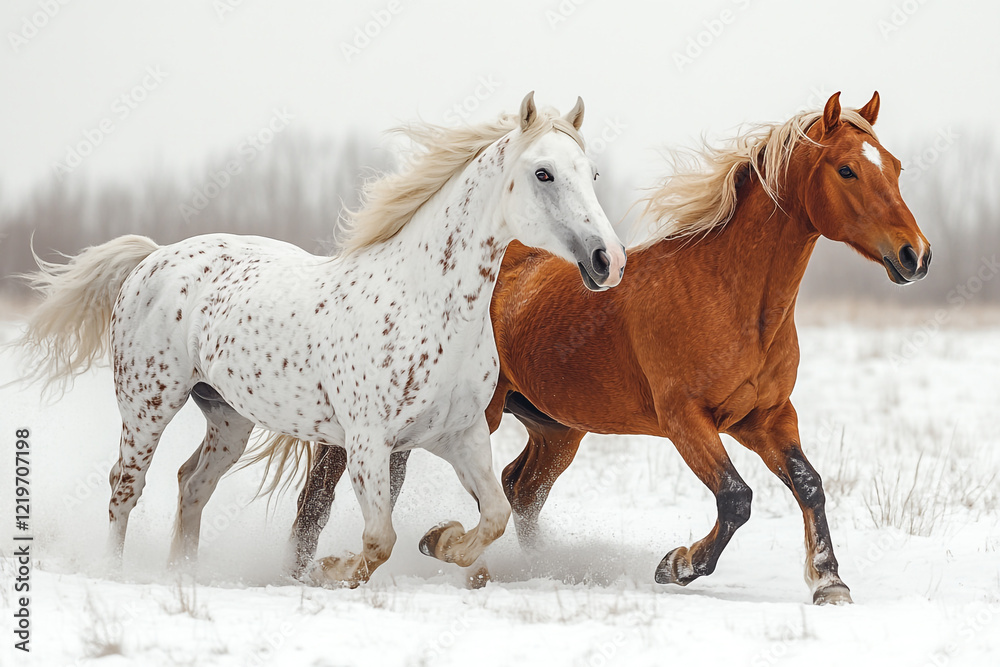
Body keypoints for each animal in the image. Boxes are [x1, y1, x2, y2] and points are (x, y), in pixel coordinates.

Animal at [19, 91, 627, 587]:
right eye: (543, 173)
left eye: (593, 174)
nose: (608, 261)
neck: (424, 303)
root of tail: (153, 257)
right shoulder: (367, 441)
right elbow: (378, 540)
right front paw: (327, 571)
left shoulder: (462, 434)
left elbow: (494, 517)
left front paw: (440, 541)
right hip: (147, 405)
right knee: (125, 487)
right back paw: (114, 574)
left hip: (227, 417)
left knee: (192, 484)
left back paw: (182, 575)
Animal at [275, 91, 930, 603]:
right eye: (846, 170)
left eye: (895, 166)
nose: (915, 256)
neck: (733, 298)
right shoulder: (686, 419)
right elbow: (737, 498)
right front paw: (677, 565)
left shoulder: (765, 418)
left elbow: (809, 484)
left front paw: (830, 583)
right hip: (458, 418)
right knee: (331, 489)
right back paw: (315, 567)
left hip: (555, 429)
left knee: (519, 489)